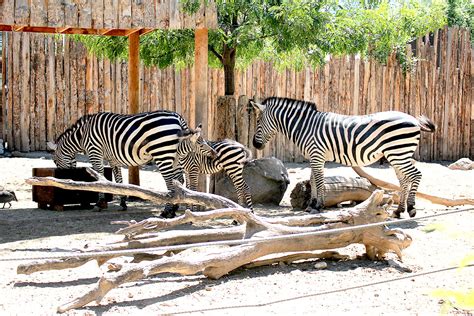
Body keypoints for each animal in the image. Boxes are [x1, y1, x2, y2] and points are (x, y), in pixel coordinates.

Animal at [47, 109, 189, 217]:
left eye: (54, 161)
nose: (61, 176)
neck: (82, 136)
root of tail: (178, 117)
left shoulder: (95, 152)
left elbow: (100, 178)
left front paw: (99, 204)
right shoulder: (113, 159)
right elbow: (119, 180)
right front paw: (123, 203)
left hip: (162, 152)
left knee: (170, 182)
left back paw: (167, 211)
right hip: (176, 156)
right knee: (179, 180)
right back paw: (174, 208)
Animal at [250, 97, 436, 218]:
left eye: (258, 122)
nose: (255, 145)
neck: (305, 127)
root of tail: (413, 119)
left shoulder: (317, 155)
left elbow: (319, 181)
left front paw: (318, 206)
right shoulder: (314, 157)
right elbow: (313, 180)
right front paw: (311, 205)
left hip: (398, 152)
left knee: (416, 174)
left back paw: (411, 208)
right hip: (397, 153)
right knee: (404, 179)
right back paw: (398, 211)